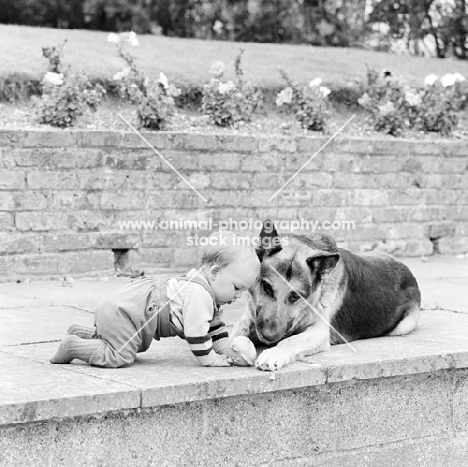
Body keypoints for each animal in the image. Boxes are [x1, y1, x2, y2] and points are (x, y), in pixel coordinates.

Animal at [232, 221, 422, 372]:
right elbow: (237, 330)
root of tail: (409, 273)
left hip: (403, 326)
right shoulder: (249, 317)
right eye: (266, 287)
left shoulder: (319, 332)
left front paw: (274, 353)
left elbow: (291, 341)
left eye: (295, 296)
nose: (269, 337)